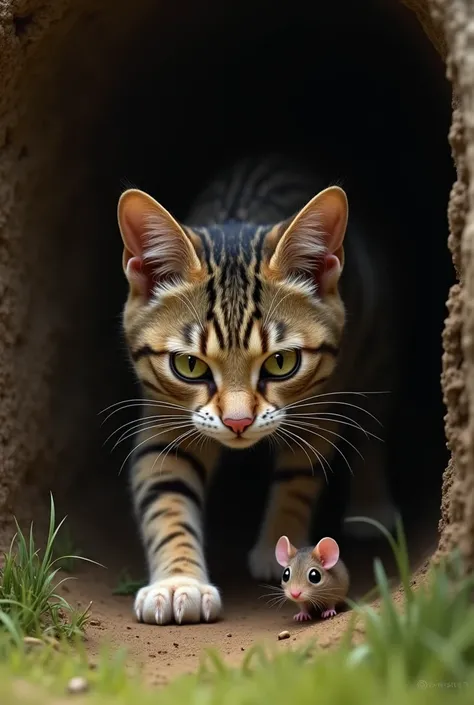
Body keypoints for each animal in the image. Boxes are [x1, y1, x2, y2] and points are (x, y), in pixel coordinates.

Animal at [116, 153, 398, 620]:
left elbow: (298, 476)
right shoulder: (163, 419)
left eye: (281, 362)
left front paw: (282, 548)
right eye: (189, 365)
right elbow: (166, 496)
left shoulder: (320, 405)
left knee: (373, 425)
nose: (238, 422)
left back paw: (371, 507)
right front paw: (178, 583)